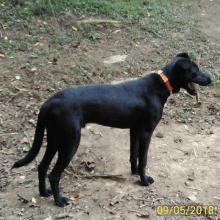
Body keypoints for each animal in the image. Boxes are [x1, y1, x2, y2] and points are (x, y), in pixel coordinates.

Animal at [12, 52, 211, 206]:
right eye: (196, 72)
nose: (210, 79)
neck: (162, 83)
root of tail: (49, 102)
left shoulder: (134, 130)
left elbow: (133, 155)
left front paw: (134, 173)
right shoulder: (146, 132)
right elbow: (144, 159)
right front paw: (144, 181)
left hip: (55, 139)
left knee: (42, 166)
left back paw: (44, 193)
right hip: (70, 142)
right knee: (53, 174)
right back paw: (59, 201)